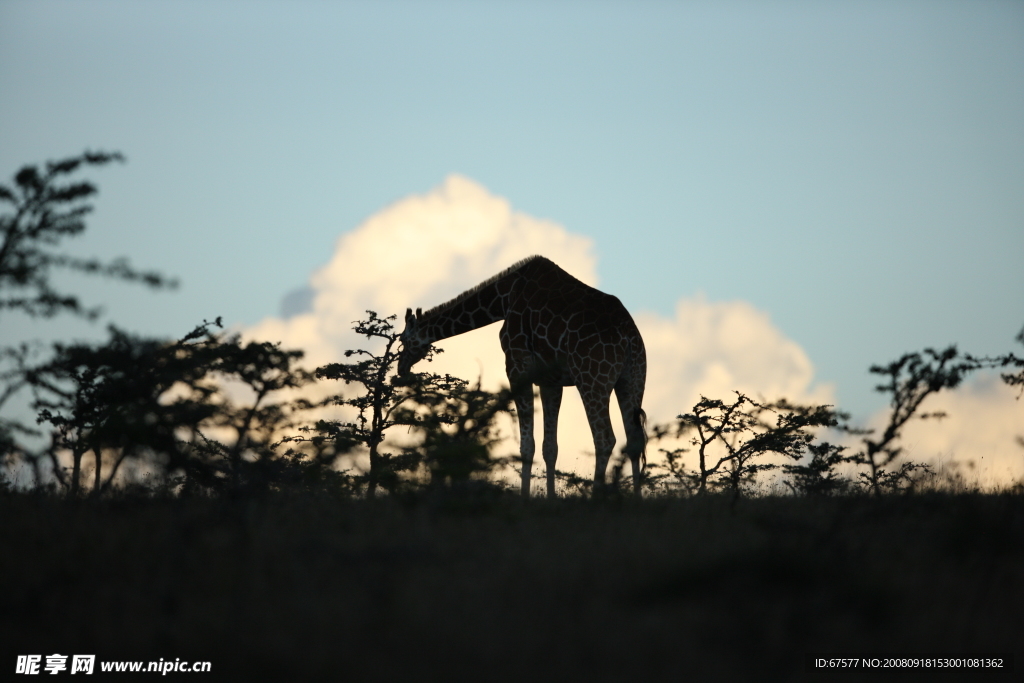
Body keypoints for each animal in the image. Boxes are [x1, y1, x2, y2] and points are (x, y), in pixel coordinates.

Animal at [395, 254, 643, 497]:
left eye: (403, 340)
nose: (401, 369)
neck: (504, 298)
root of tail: (628, 334)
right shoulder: (550, 381)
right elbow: (549, 447)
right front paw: (550, 499)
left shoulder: (516, 368)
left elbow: (527, 445)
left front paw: (525, 498)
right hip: (632, 379)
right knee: (634, 439)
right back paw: (637, 497)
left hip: (591, 379)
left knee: (604, 438)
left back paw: (596, 498)